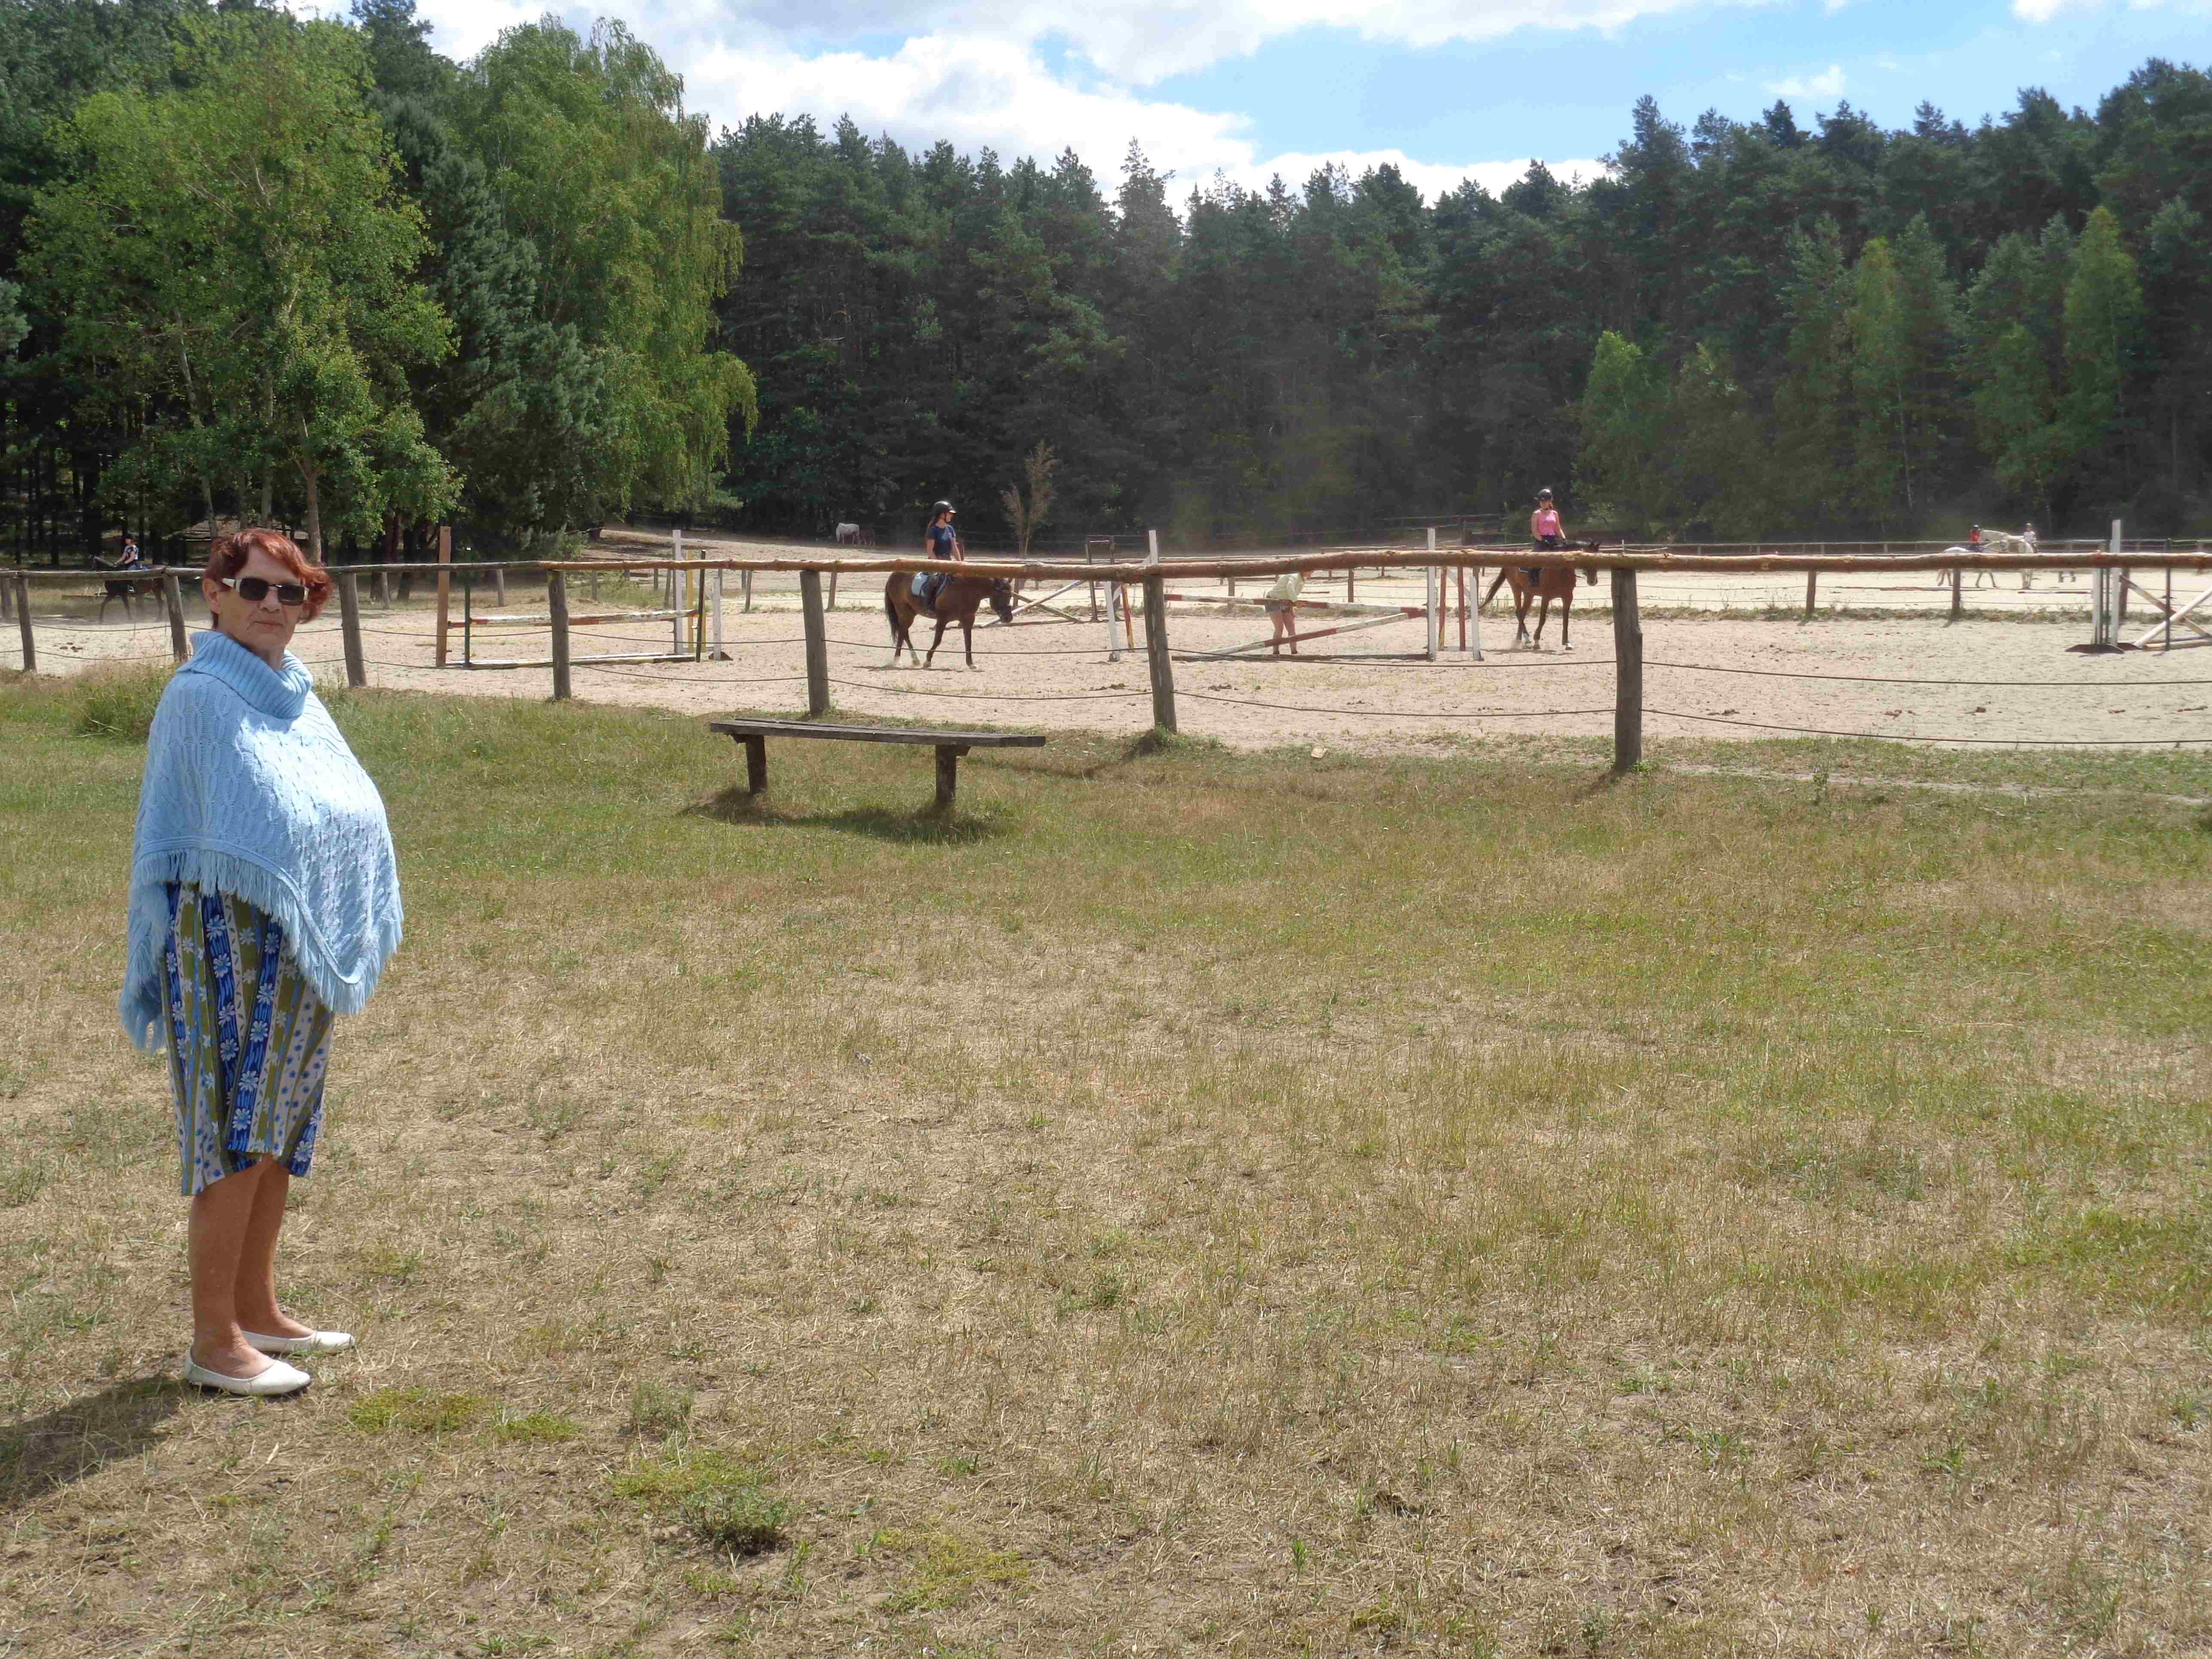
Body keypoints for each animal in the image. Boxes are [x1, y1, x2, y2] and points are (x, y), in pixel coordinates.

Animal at [884, 570, 1016, 669]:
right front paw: (928, 661)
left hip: (911, 613)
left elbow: (968, 641)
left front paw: (971, 664)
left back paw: (915, 660)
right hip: (905, 613)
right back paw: (898, 660)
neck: (967, 589)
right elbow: (938, 640)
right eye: (1000, 594)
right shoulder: (942, 619)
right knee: (903, 633)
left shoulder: (968, 620)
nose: (1008, 618)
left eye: (1010, 595)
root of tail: (894, 575)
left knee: (904, 633)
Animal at [1476, 539, 1603, 649]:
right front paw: (1537, 640)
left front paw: (1567, 642)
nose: (1593, 581)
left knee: (1522, 613)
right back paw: (1527, 639)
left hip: (1529, 594)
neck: (1560, 570)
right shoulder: (1546, 597)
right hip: (1516, 589)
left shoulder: (1568, 597)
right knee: (1519, 613)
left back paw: (1520, 639)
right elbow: (1543, 619)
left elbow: (1566, 620)